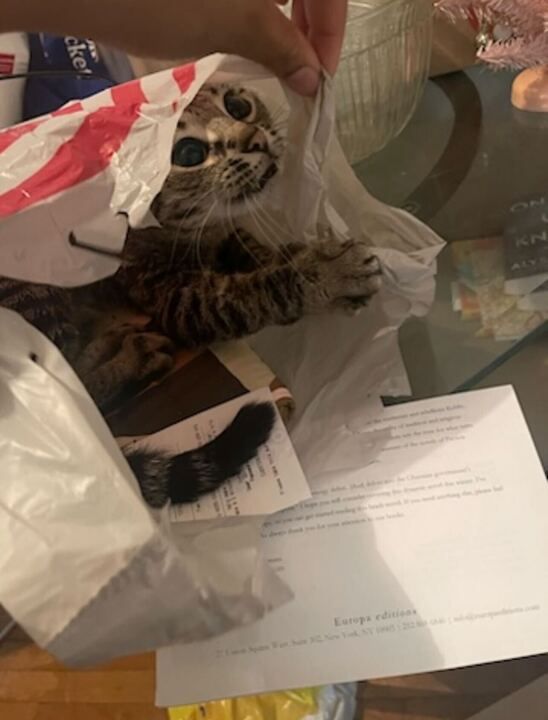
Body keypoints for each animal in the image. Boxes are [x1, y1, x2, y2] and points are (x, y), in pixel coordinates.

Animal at [0, 84, 382, 510]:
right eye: (187, 154)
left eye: (238, 105)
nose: (254, 138)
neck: (193, 228)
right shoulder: (179, 298)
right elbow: (260, 289)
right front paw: (332, 274)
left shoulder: (227, 237)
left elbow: (264, 255)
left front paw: (310, 255)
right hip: (31, 290)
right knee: (74, 393)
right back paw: (133, 356)